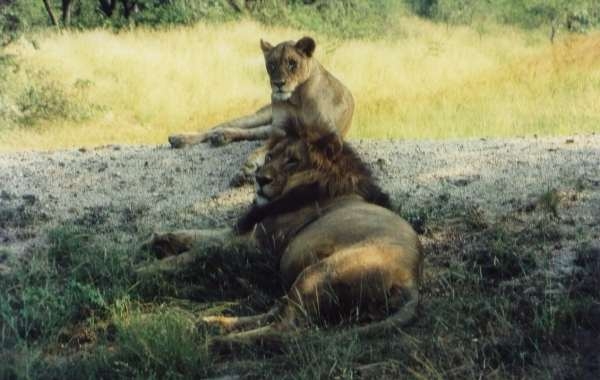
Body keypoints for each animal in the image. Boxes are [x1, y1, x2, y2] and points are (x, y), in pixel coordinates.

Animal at [142, 124, 422, 350]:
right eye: (268, 156)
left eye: (292, 161)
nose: (259, 179)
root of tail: (410, 280)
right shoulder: (244, 231)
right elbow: (199, 235)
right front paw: (155, 241)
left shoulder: (255, 246)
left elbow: (195, 253)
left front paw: (147, 269)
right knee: (276, 311)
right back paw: (214, 323)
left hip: (317, 272)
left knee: (286, 329)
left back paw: (222, 341)